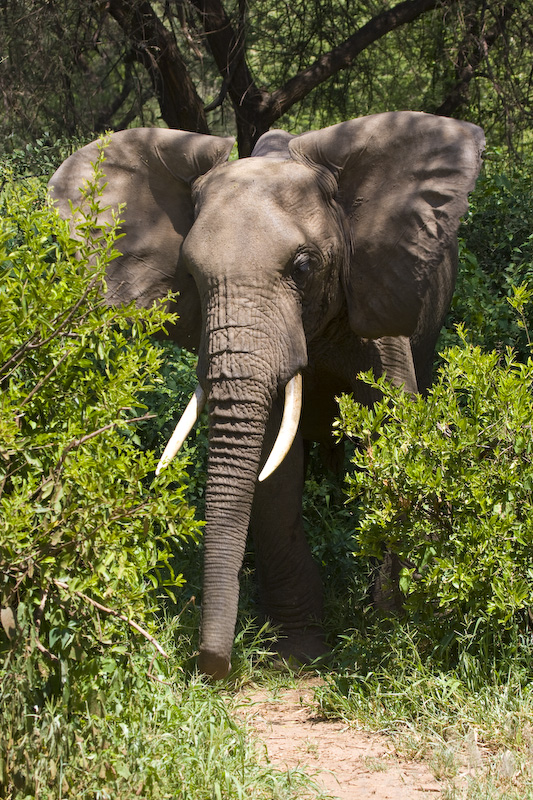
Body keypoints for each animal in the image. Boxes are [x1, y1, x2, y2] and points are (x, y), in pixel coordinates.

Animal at [51, 111, 486, 676]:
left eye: (303, 268)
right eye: (191, 276)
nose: (209, 665)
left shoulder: (376, 293)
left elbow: (396, 434)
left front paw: (393, 625)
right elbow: (272, 470)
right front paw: (299, 652)